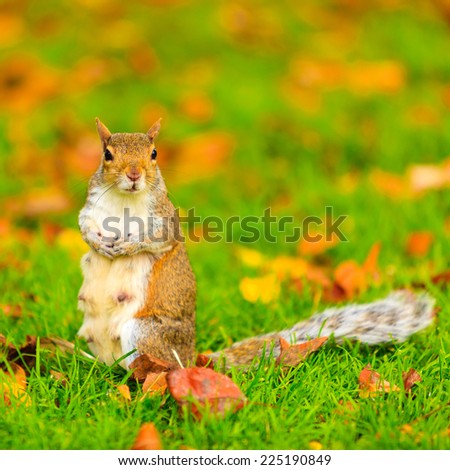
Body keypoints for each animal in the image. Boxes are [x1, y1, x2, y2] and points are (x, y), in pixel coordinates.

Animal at [77, 121, 436, 370]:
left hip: (145, 333)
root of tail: (192, 358)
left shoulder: (164, 219)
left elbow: (155, 240)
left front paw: (126, 247)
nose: (134, 174)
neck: (125, 199)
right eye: (107, 155)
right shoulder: (91, 208)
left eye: (154, 154)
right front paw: (98, 242)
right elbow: (84, 226)